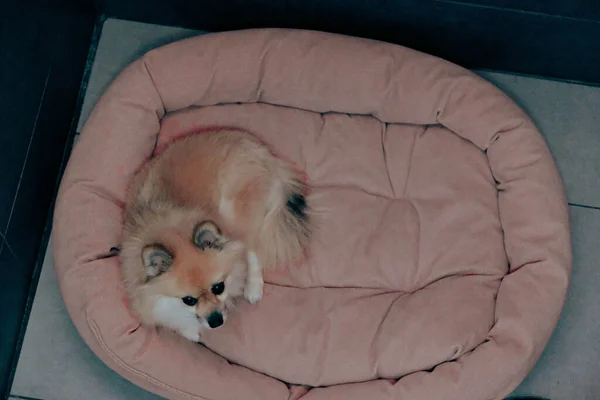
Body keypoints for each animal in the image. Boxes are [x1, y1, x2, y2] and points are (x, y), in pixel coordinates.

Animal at [119, 130, 312, 342]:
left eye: (219, 287)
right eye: (189, 300)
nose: (216, 321)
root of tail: (261, 151)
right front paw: (189, 331)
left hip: (234, 212)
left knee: (252, 249)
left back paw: (253, 287)